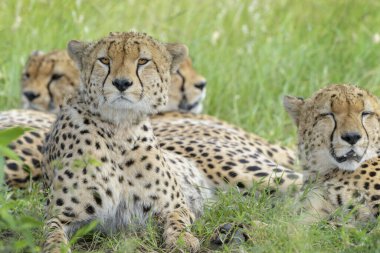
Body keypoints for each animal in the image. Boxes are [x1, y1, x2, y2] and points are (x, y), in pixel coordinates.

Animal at [43, 32, 212, 252]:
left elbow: (178, 221)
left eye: (143, 61)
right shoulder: (59, 214)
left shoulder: (175, 206)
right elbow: (53, 235)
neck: (119, 130)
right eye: (104, 60)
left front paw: (183, 238)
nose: (122, 83)